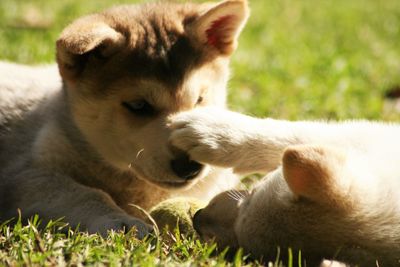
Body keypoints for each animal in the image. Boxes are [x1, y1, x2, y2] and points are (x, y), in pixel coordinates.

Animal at [0, 0, 248, 239]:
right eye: (138, 106)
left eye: (199, 99)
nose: (189, 167)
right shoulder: (24, 175)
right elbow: (86, 194)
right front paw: (122, 221)